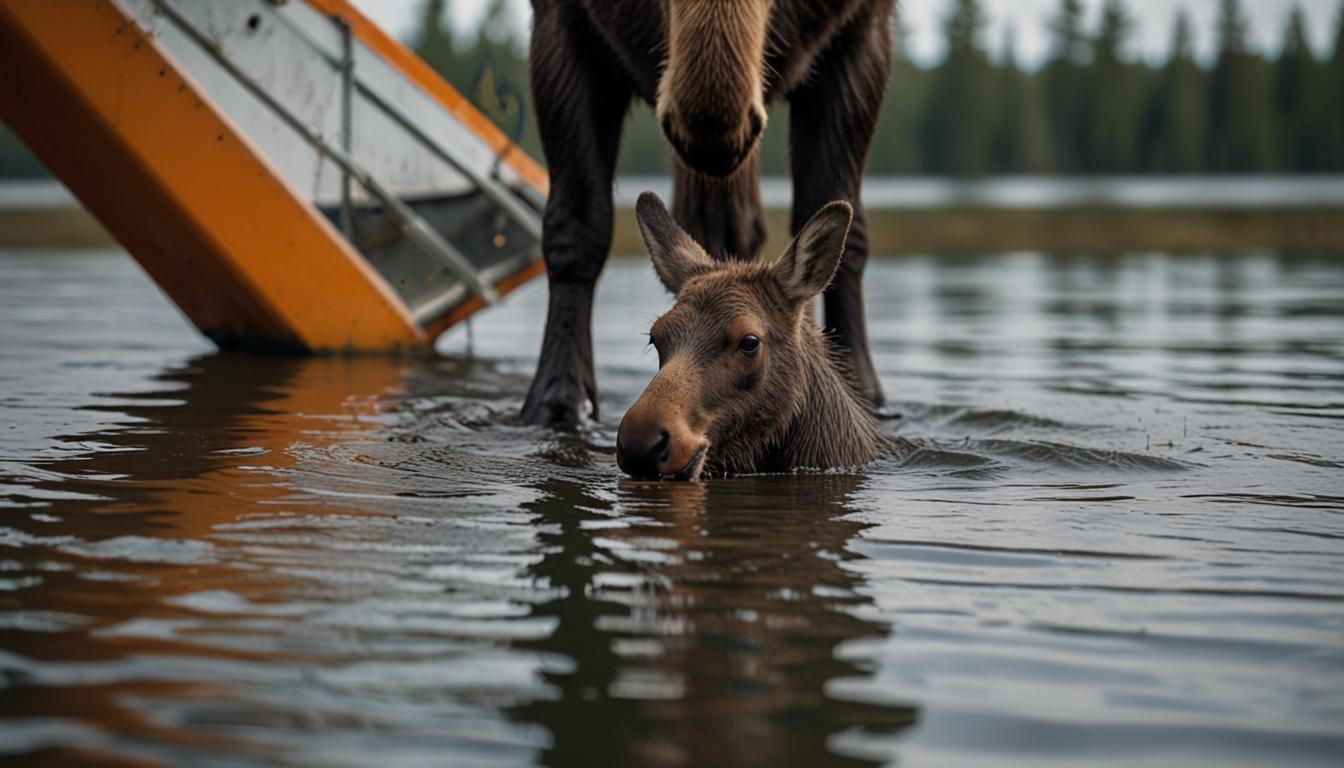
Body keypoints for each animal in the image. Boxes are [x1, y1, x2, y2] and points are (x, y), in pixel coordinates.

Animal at [522, 0, 894, 429]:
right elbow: (576, 226)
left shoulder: (865, 26)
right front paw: (557, 404)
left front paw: (862, 396)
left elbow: (844, 223)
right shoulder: (559, 20)